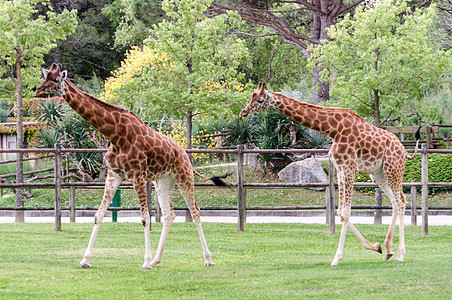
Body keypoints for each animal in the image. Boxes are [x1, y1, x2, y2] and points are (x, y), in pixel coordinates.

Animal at [34, 63, 215, 270]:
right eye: (45, 76)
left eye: (56, 79)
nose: (37, 90)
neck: (115, 135)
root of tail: (183, 151)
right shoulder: (114, 175)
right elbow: (98, 215)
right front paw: (85, 260)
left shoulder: (137, 175)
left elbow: (145, 218)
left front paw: (145, 261)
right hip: (163, 181)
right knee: (169, 214)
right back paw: (157, 260)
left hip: (184, 176)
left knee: (195, 211)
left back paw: (207, 259)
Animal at [240, 83, 420, 266]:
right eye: (252, 96)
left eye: (260, 100)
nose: (243, 112)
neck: (333, 129)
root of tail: (404, 151)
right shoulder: (340, 168)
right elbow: (340, 212)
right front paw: (375, 246)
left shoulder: (348, 167)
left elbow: (345, 213)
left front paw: (337, 258)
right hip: (378, 174)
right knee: (395, 202)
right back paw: (389, 249)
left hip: (393, 169)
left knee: (401, 201)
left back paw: (400, 254)